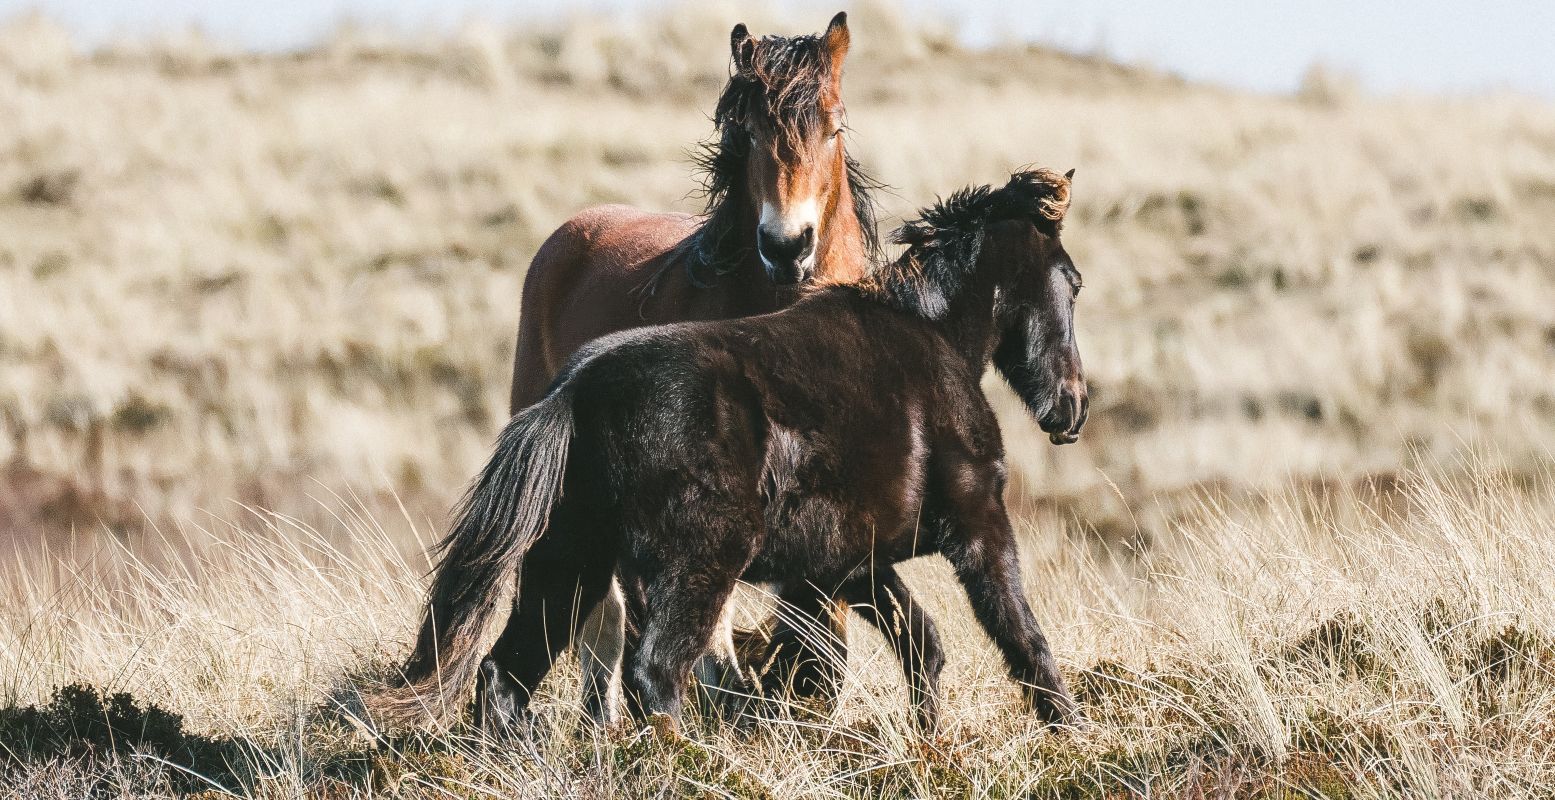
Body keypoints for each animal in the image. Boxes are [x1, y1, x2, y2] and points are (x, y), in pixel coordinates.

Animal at [385, 168, 1094, 728]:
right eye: (1073, 281)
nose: (1072, 407)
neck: (933, 340)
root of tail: (577, 393)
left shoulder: (851, 565)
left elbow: (924, 648)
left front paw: (929, 740)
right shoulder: (979, 527)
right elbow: (1023, 639)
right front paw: (1066, 727)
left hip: (572, 564)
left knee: (506, 676)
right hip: (694, 568)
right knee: (653, 676)